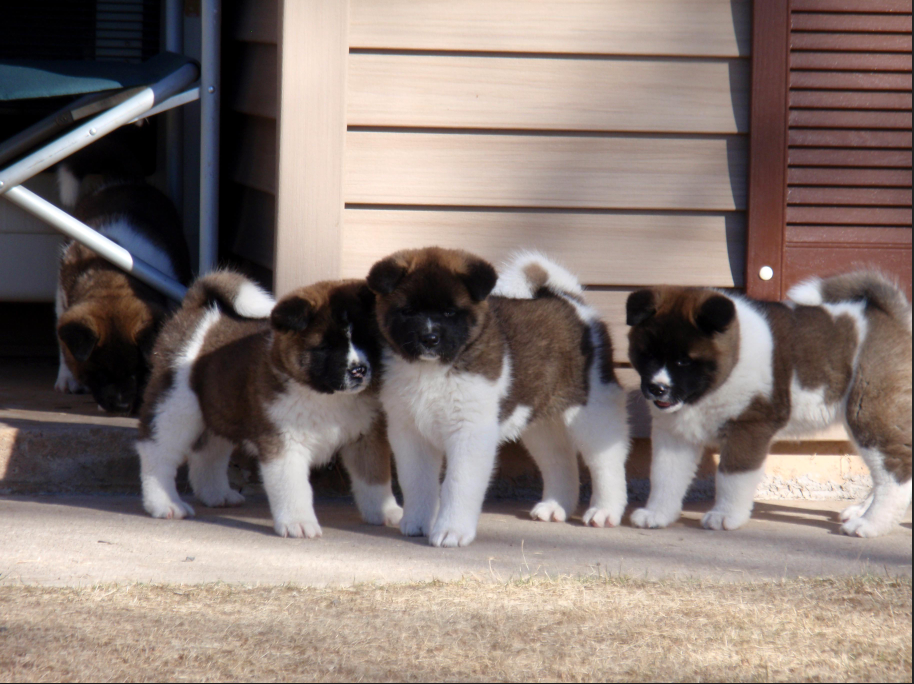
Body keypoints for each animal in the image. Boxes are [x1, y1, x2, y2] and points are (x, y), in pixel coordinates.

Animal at [52, 142, 191, 412]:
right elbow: (64, 346)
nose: (120, 407)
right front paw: (71, 377)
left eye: (138, 371)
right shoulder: (66, 296)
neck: (111, 275)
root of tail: (126, 179)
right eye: (99, 374)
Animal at [137, 270, 400, 536]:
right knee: (157, 452)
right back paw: (165, 504)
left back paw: (217, 495)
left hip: (220, 407)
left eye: (366, 340)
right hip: (175, 407)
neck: (327, 396)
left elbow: (374, 478)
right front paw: (299, 523)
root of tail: (198, 311)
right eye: (325, 347)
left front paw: (385, 512)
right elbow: (293, 488)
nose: (358, 370)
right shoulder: (284, 444)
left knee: (208, 453)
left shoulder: (366, 435)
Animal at [366, 248, 632, 548]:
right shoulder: (409, 433)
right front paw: (416, 522)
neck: (433, 370)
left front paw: (451, 531)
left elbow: (458, 483)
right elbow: (416, 481)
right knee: (559, 459)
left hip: (594, 410)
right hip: (540, 423)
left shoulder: (470, 433)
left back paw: (605, 511)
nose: (429, 338)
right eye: (408, 311)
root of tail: (570, 300)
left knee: (606, 462)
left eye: (449, 312)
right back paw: (555, 506)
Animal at [624, 270, 908, 536]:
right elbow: (665, 476)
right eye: (647, 356)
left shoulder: (749, 426)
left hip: (868, 414)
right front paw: (657, 514)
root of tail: (894, 318)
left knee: (895, 473)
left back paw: (870, 524)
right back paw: (862, 512)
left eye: (683, 361)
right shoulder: (674, 434)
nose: (657, 388)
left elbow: (731, 476)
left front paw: (725, 516)